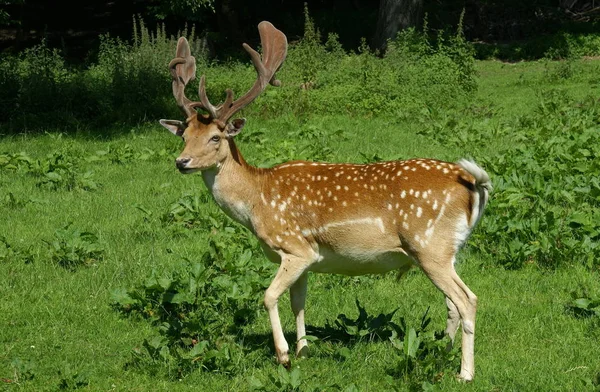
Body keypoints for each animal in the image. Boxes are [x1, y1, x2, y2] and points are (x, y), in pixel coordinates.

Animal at [161, 20, 492, 380]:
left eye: (215, 137)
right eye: (184, 135)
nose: (182, 162)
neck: (256, 202)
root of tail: (473, 183)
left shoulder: (295, 247)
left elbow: (268, 296)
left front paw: (284, 355)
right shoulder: (305, 259)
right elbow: (298, 302)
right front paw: (304, 350)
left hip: (429, 246)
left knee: (468, 299)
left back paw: (465, 372)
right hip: (447, 250)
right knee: (452, 305)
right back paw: (441, 353)